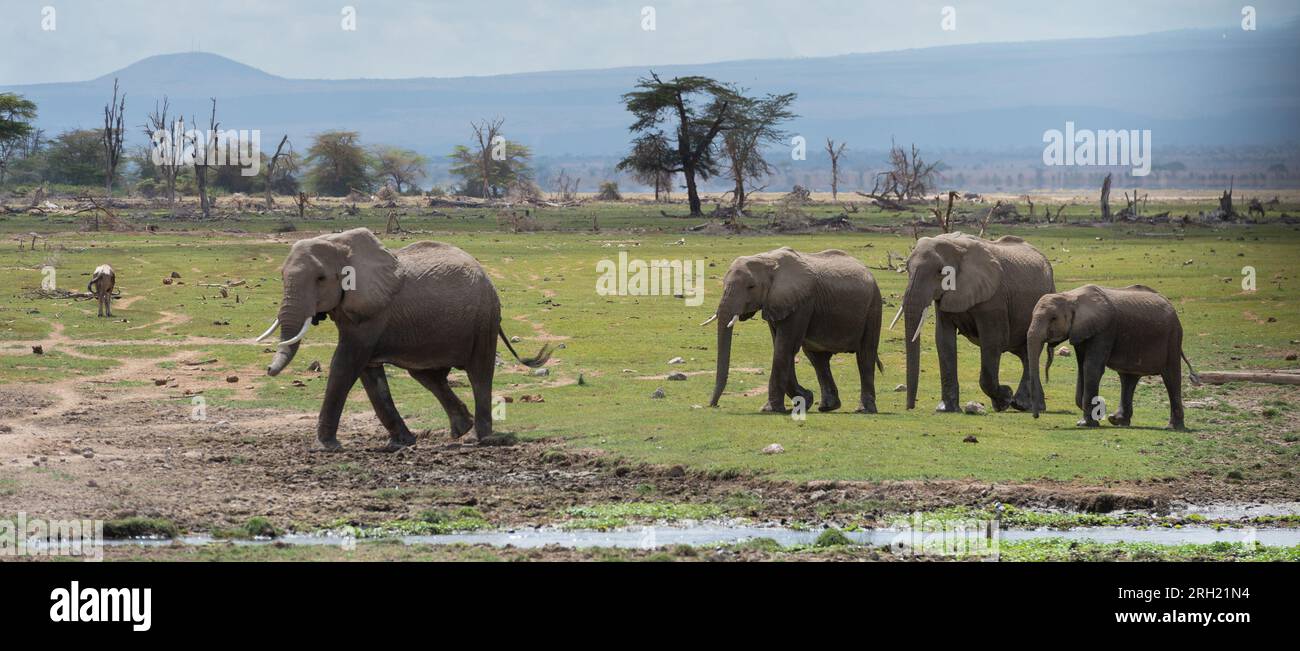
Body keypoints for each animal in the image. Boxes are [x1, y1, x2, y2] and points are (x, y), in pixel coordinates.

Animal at [256, 228, 551, 450]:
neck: (340, 242)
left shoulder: (373, 313)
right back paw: (460, 430)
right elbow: (369, 374)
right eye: (282, 276)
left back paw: (479, 438)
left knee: (479, 373)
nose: (268, 369)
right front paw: (402, 443)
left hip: (484, 319)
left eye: (320, 278)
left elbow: (345, 364)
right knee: (428, 376)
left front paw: (325, 446)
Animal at [707, 247, 883, 414]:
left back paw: (864, 410)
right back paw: (828, 407)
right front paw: (806, 399)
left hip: (873, 306)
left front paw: (770, 409)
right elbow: (781, 345)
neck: (767, 260)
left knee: (865, 355)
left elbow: (785, 347)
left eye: (751, 287)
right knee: (818, 359)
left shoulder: (801, 303)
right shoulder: (777, 303)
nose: (713, 405)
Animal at [898, 232, 1054, 413]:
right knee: (1025, 354)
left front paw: (1005, 397)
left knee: (1029, 350)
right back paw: (1031, 406)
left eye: (941, 272)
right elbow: (944, 340)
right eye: (907, 268)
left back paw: (1021, 404)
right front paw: (946, 409)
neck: (956, 245)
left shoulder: (994, 298)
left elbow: (993, 341)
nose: (910, 407)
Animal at [1026, 284, 1200, 430]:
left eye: (1053, 318)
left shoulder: (1104, 329)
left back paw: (1173, 427)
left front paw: (1086, 423)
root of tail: (1172, 307)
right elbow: (1082, 368)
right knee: (1128, 378)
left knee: (1171, 377)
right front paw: (1089, 417)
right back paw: (1117, 421)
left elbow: (1091, 368)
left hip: (1173, 337)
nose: (1036, 416)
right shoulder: (1081, 332)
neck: (1070, 297)